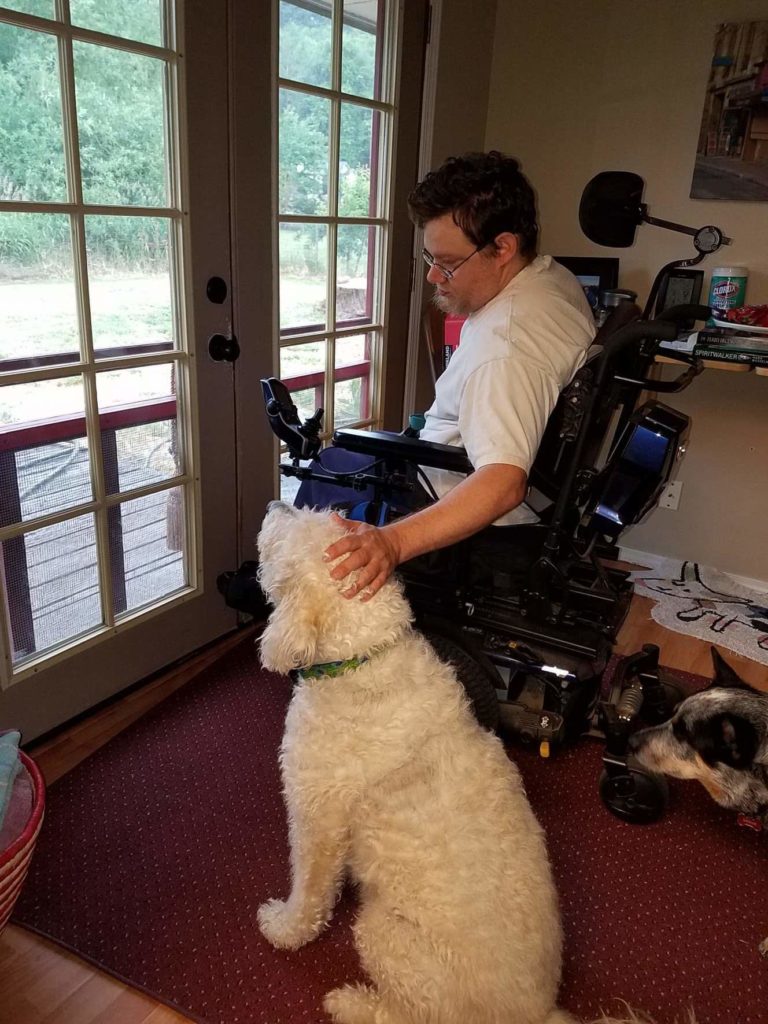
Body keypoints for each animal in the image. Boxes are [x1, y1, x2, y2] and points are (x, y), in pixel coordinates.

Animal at [257, 501, 692, 1024]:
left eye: (297, 525)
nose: (275, 503)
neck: (365, 657)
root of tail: (539, 1014)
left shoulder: (316, 820)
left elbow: (310, 895)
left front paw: (282, 928)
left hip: (384, 933)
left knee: (408, 1014)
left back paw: (350, 1002)